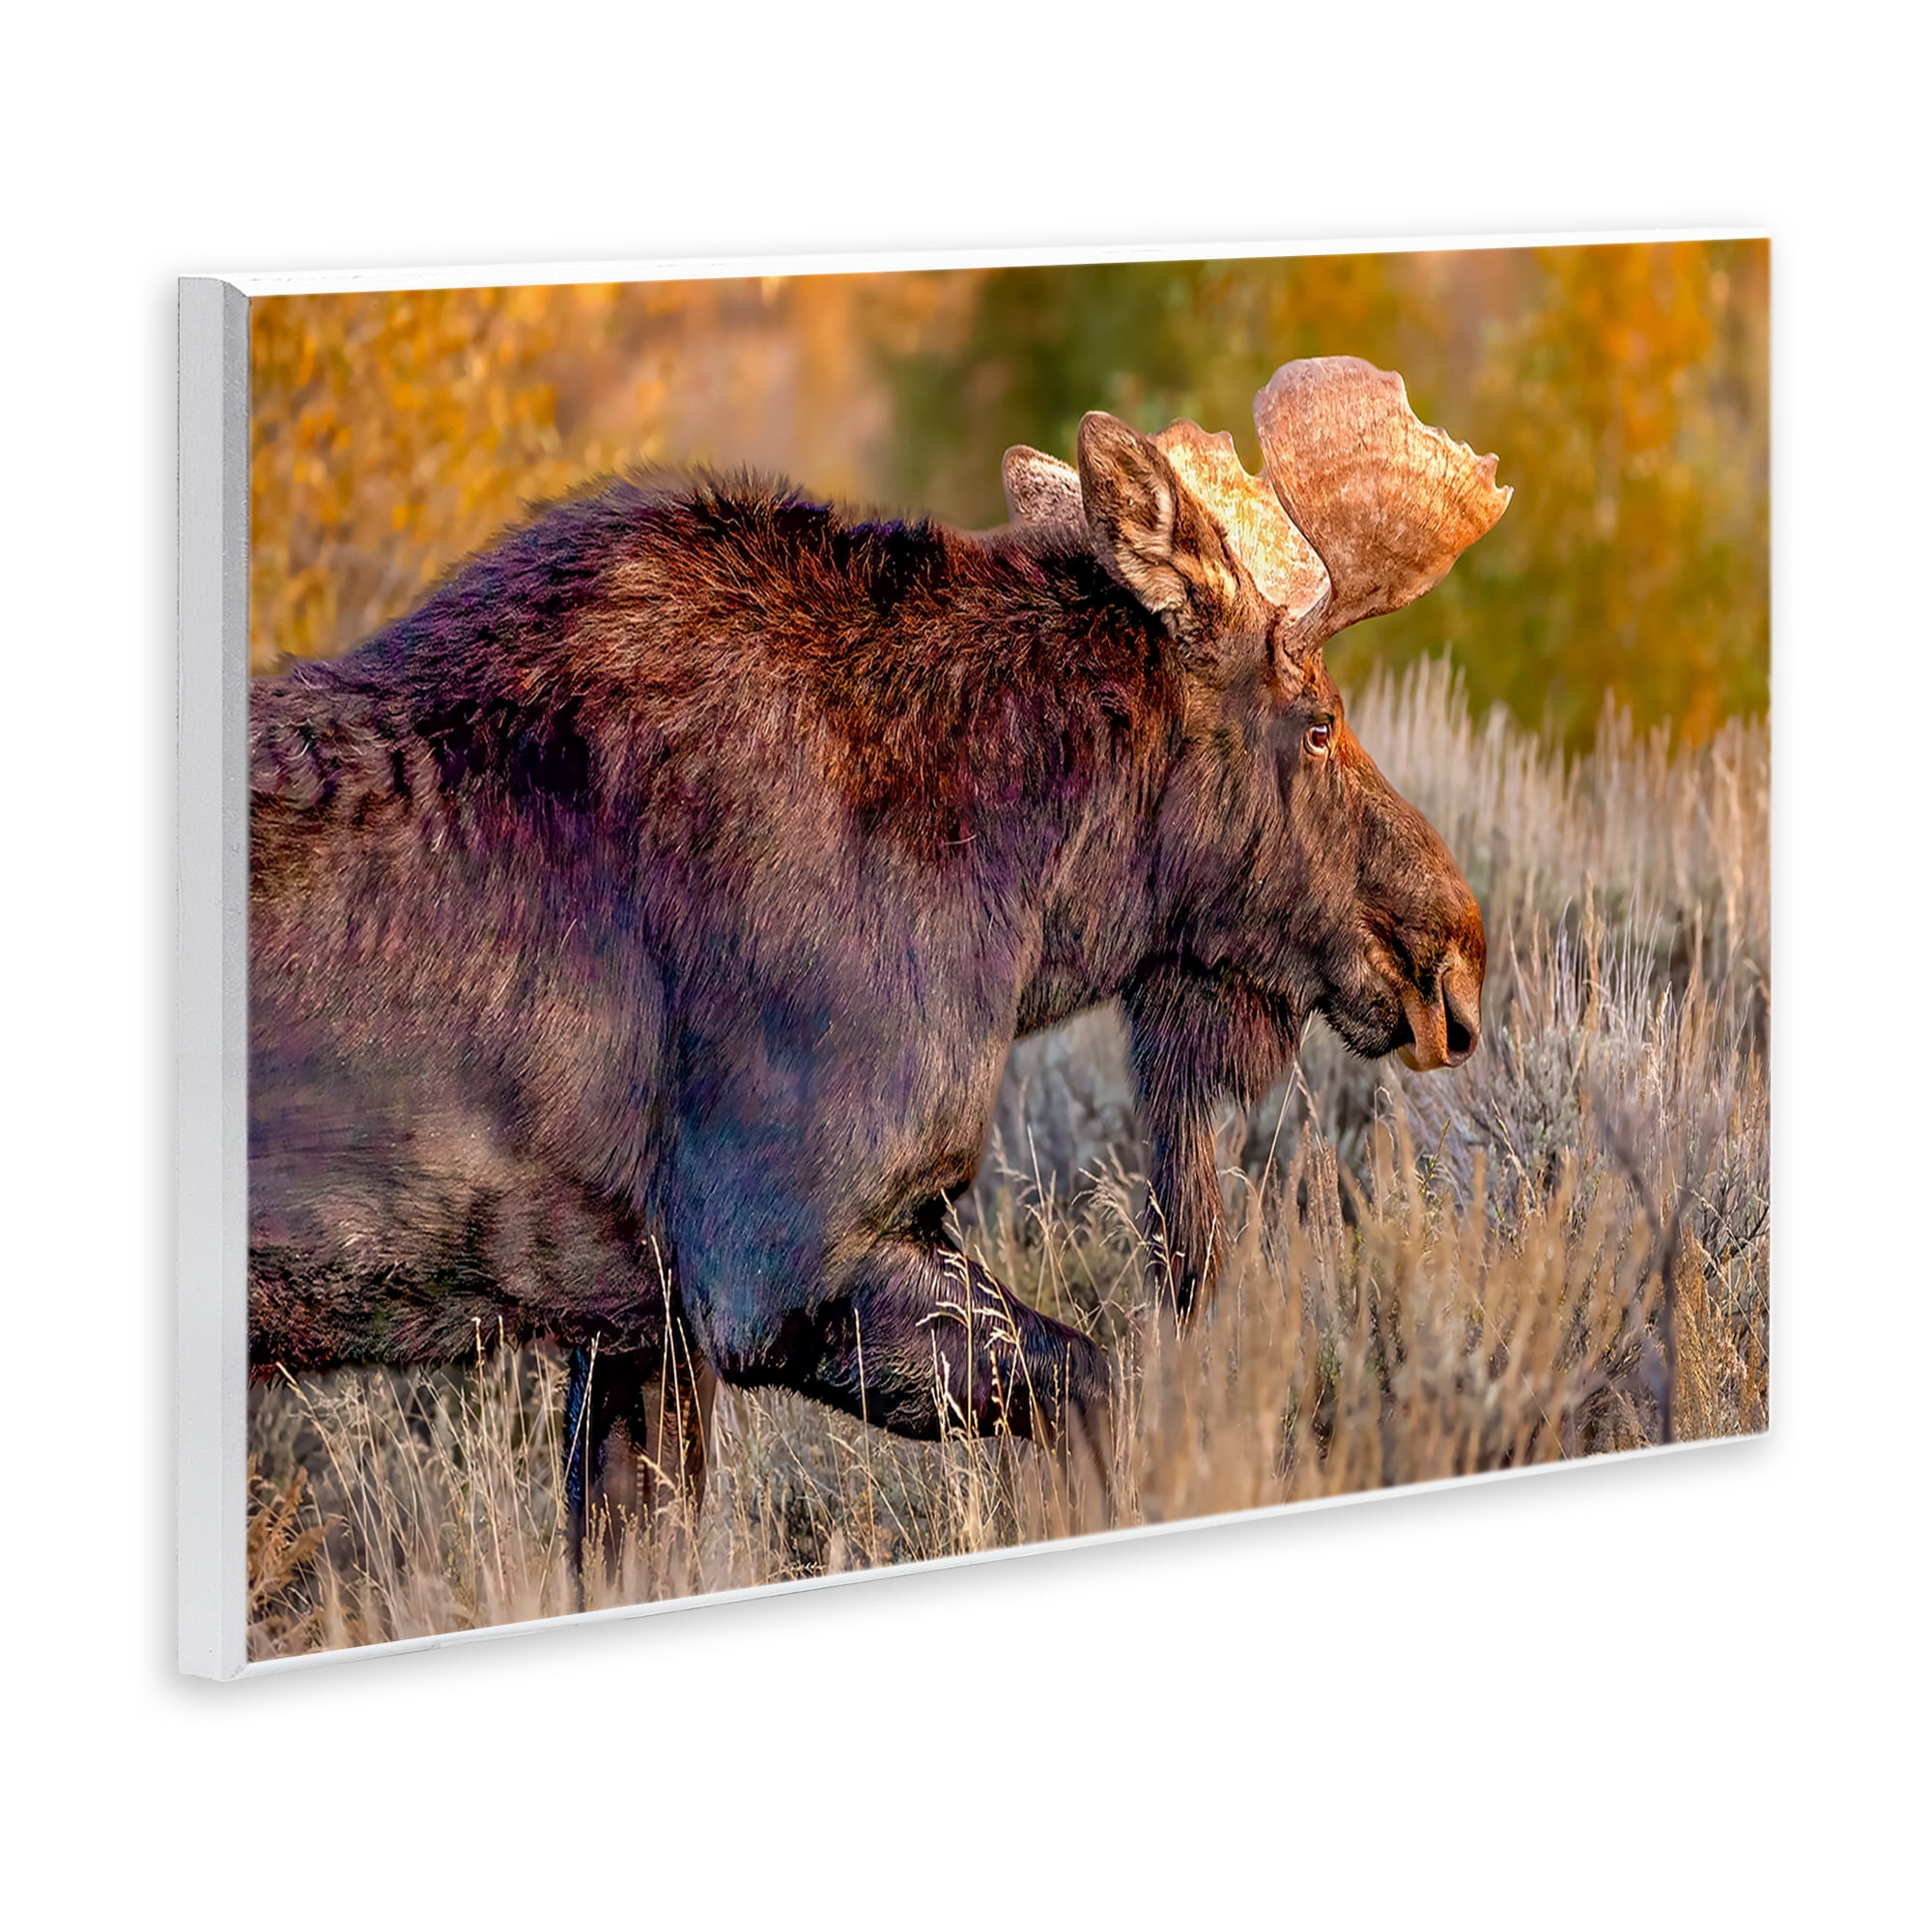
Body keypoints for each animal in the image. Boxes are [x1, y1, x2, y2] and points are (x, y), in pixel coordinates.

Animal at [247, 356, 1508, 1574]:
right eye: (1316, 720)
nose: (1453, 956)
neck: (1023, 902)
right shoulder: (781, 1264)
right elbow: (1102, 1390)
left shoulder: (638, 1324)